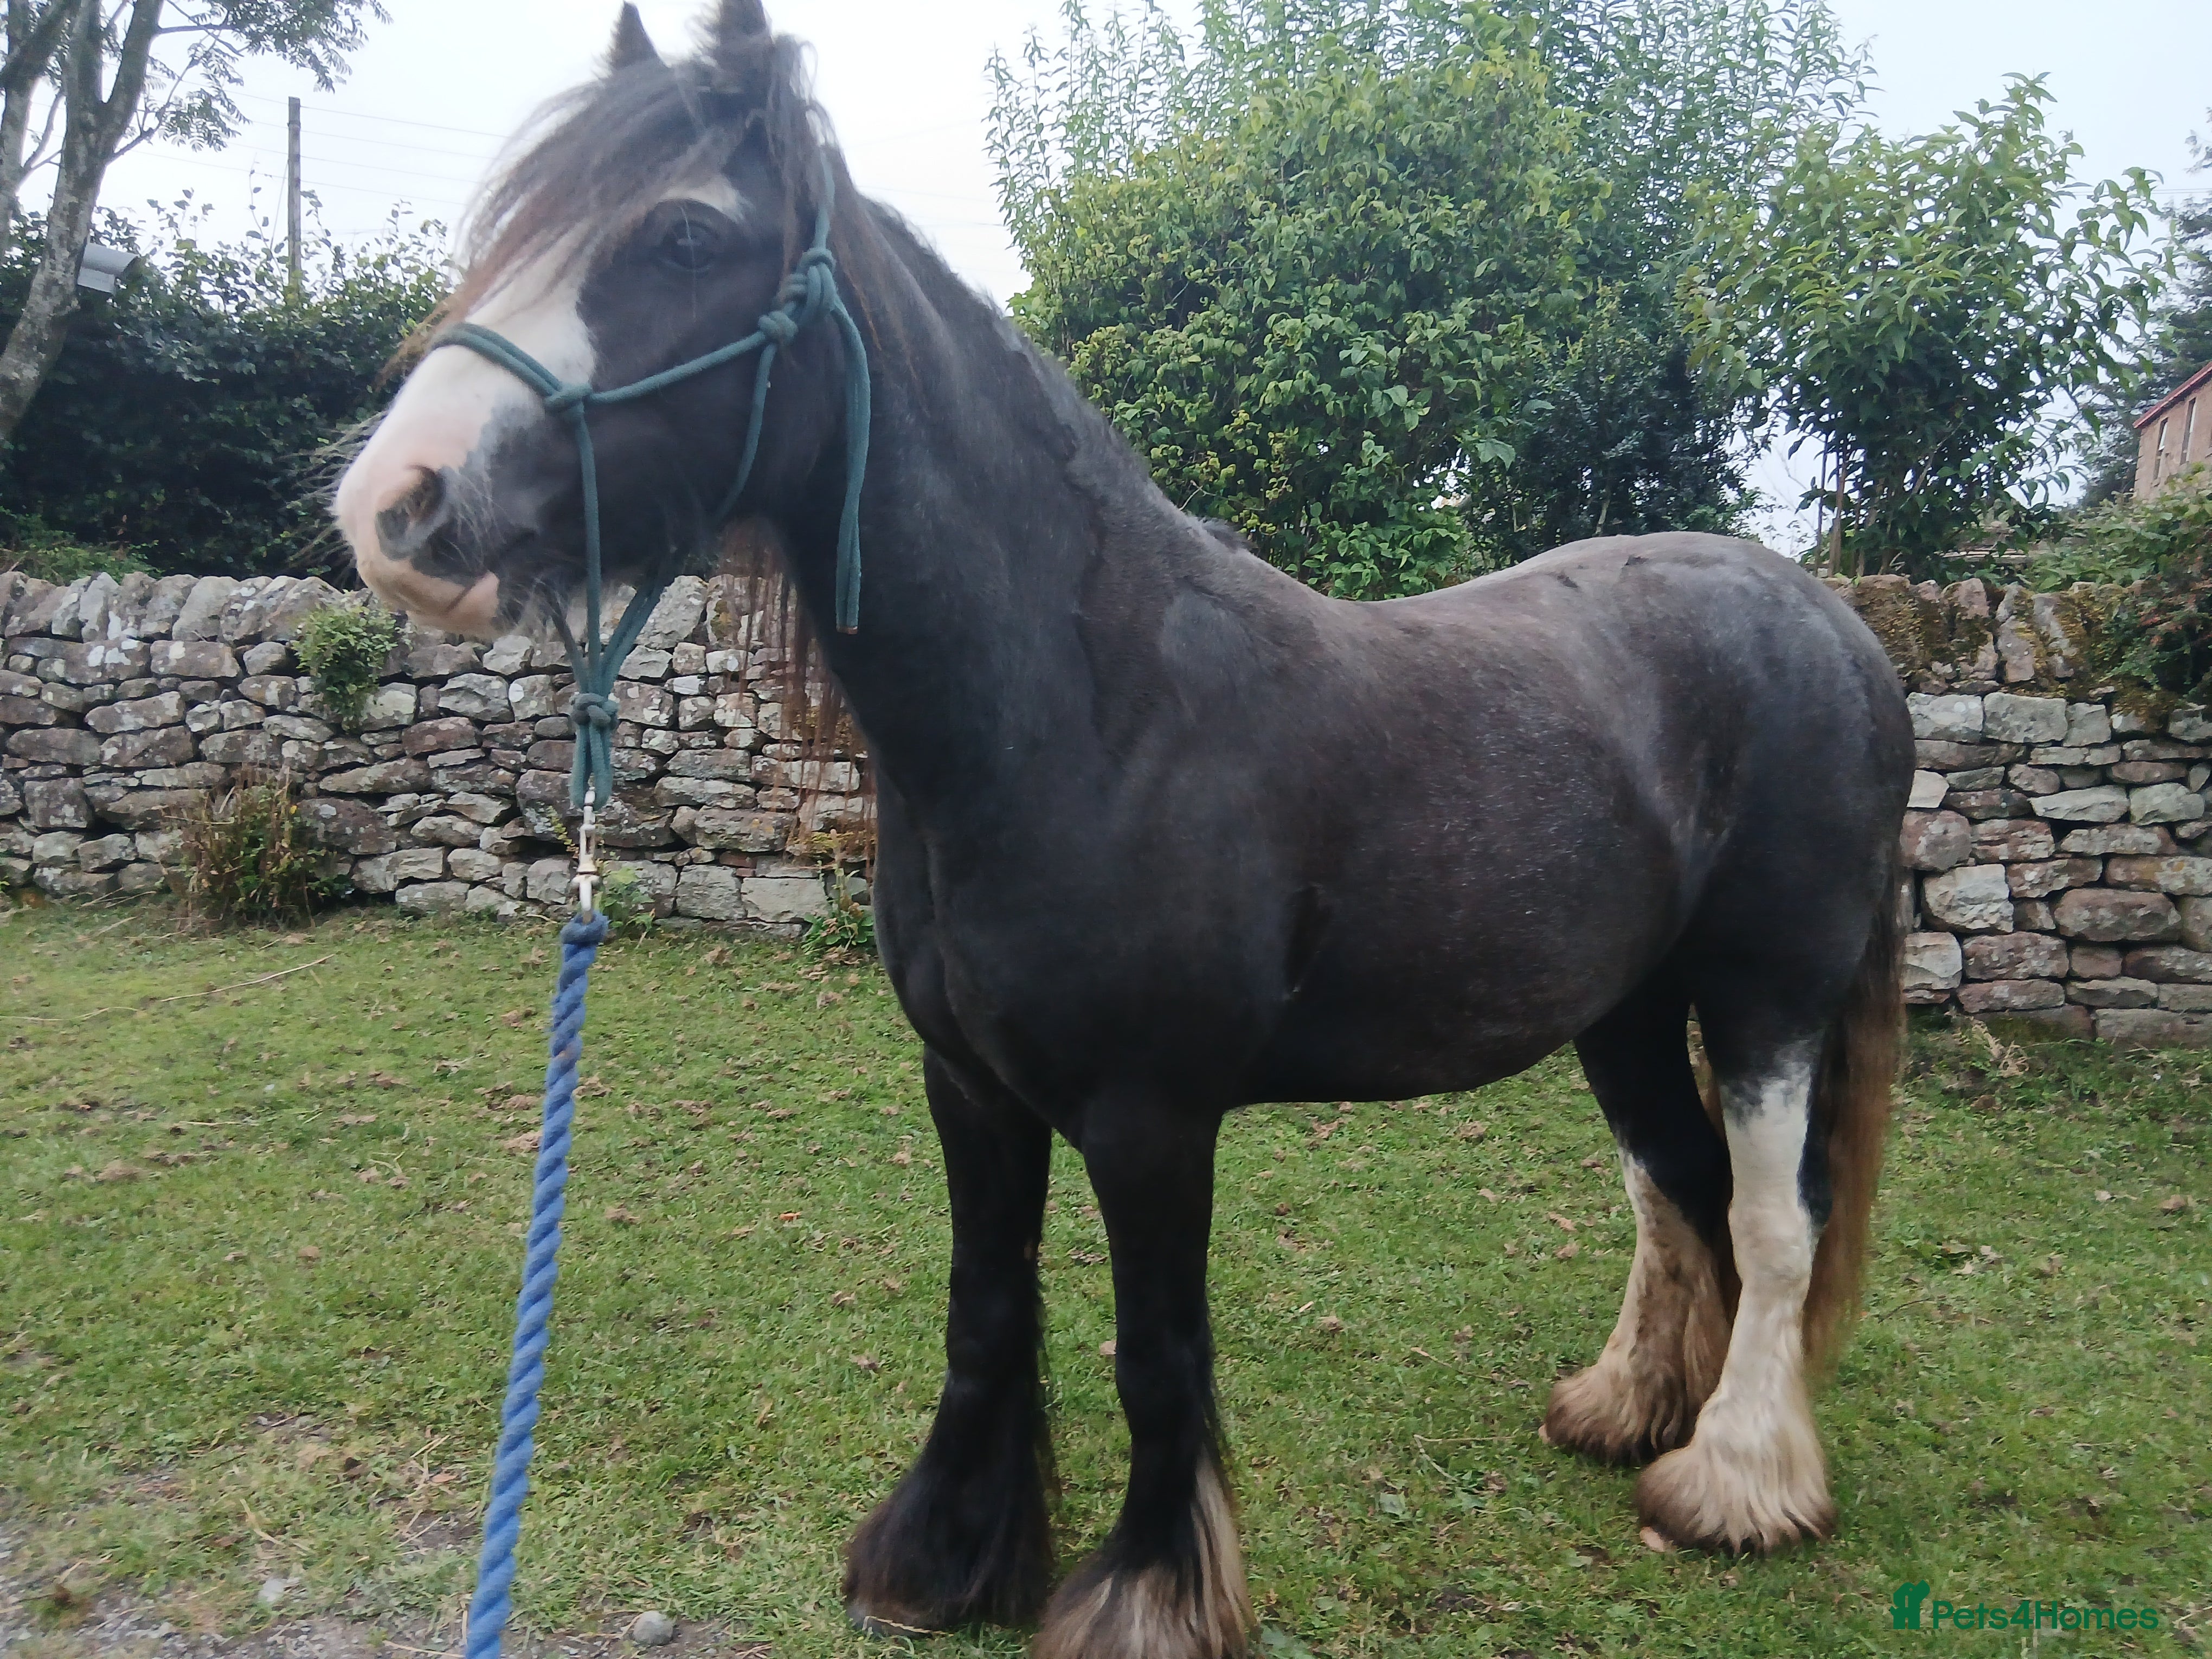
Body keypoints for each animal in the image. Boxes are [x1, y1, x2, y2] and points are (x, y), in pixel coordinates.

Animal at [332, 5, 1911, 1654]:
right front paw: (943, 1556)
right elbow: (986, 1302)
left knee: (1773, 1218)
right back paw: (1629, 1410)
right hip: (1621, 1008)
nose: (395, 505)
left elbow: (1158, 1352)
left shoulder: (1154, 1116)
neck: (1080, 708)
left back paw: (1734, 1480)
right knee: (1676, 1192)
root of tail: (1832, 626)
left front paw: (1149, 1592)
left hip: (1767, 998)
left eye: (685, 233)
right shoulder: (969, 1085)